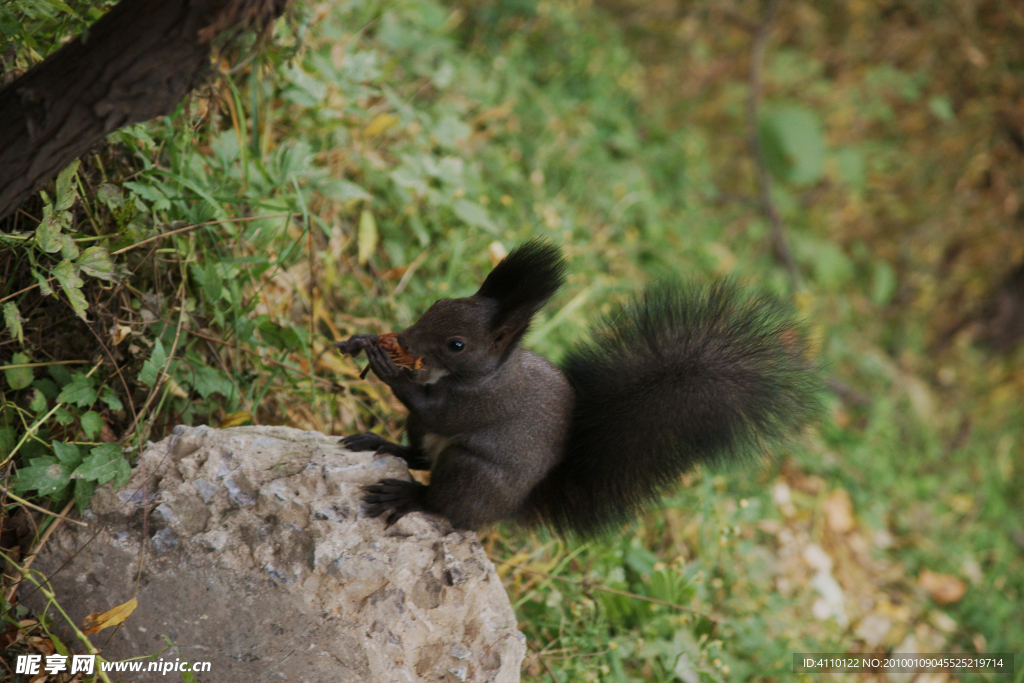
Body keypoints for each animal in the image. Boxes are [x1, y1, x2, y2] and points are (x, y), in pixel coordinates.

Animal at [335, 242, 823, 536]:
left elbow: (438, 410)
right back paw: (381, 444)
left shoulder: (484, 403)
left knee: (446, 505)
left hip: (471, 471)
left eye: (457, 344)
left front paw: (386, 366)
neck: (486, 374)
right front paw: (364, 341)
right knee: (418, 455)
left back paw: (411, 496)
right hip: (424, 439)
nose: (405, 338)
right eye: (439, 303)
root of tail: (507, 508)